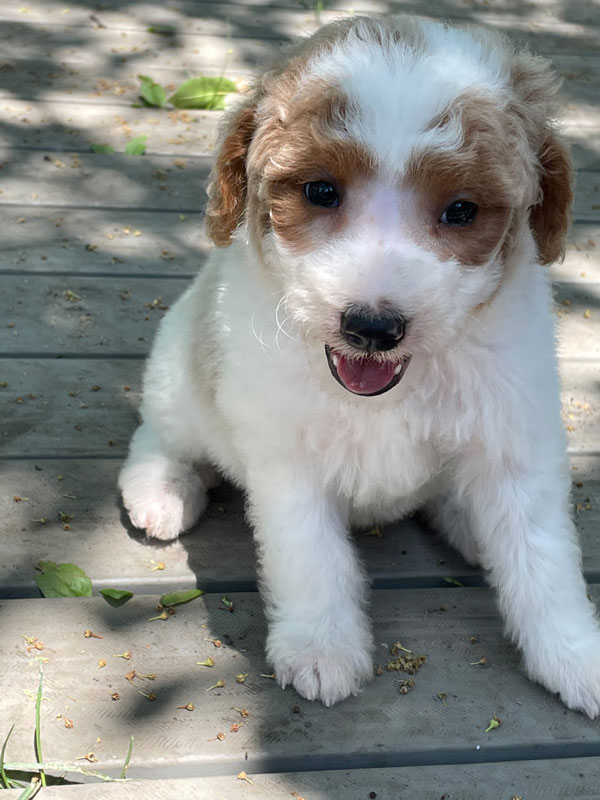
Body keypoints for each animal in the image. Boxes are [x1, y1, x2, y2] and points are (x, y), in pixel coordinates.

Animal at [117, 14, 600, 712]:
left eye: (461, 210)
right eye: (321, 191)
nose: (372, 328)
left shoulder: (515, 442)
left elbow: (542, 557)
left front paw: (574, 654)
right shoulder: (287, 457)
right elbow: (311, 557)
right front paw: (321, 646)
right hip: (179, 370)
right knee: (160, 435)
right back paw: (162, 490)